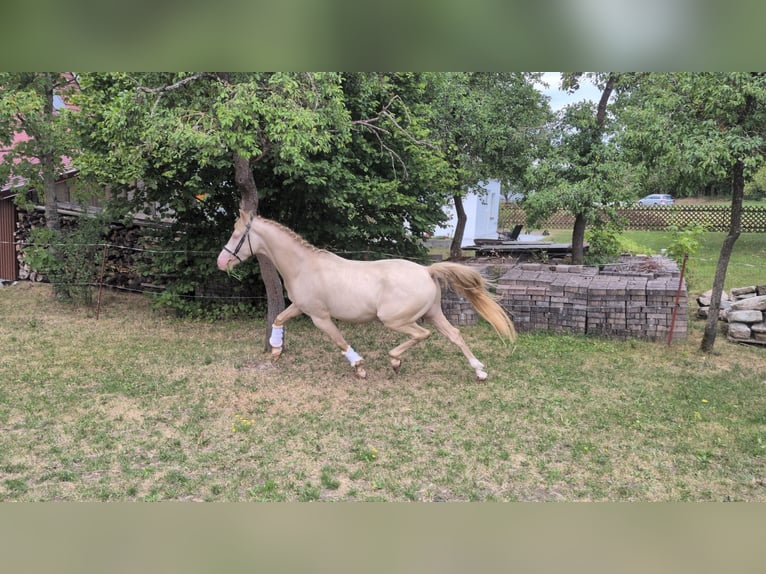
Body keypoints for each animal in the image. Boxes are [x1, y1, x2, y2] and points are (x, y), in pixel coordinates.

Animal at [217, 211, 516, 380]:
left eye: (236, 235)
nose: (221, 262)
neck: (303, 266)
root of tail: (427, 270)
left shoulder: (319, 317)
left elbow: (339, 341)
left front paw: (359, 367)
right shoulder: (301, 307)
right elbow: (279, 318)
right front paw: (277, 350)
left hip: (395, 319)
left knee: (423, 334)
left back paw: (395, 360)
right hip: (433, 313)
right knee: (454, 334)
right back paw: (479, 371)